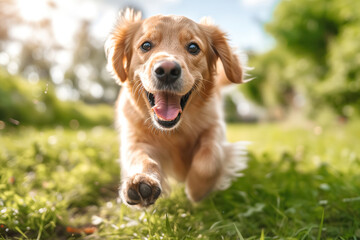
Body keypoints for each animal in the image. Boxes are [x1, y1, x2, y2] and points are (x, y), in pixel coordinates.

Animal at [105, 8, 249, 208]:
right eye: (146, 45)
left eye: (193, 47)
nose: (166, 70)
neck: (174, 131)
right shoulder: (134, 138)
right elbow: (140, 157)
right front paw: (142, 181)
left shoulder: (215, 127)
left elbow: (209, 157)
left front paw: (197, 189)